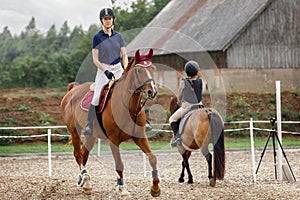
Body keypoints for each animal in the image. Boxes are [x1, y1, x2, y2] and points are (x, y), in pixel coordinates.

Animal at [59, 48, 161, 197]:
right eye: (138, 71)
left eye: (153, 68)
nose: (151, 92)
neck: (128, 107)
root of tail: (73, 89)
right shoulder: (113, 140)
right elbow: (119, 164)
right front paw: (123, 189)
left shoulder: (140, 137)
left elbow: (152, 157)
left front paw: (155, 188)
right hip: (74, 131)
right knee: (78, 155)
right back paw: (84, 179)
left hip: (91, 136)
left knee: (84, 154)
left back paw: (86, 183)